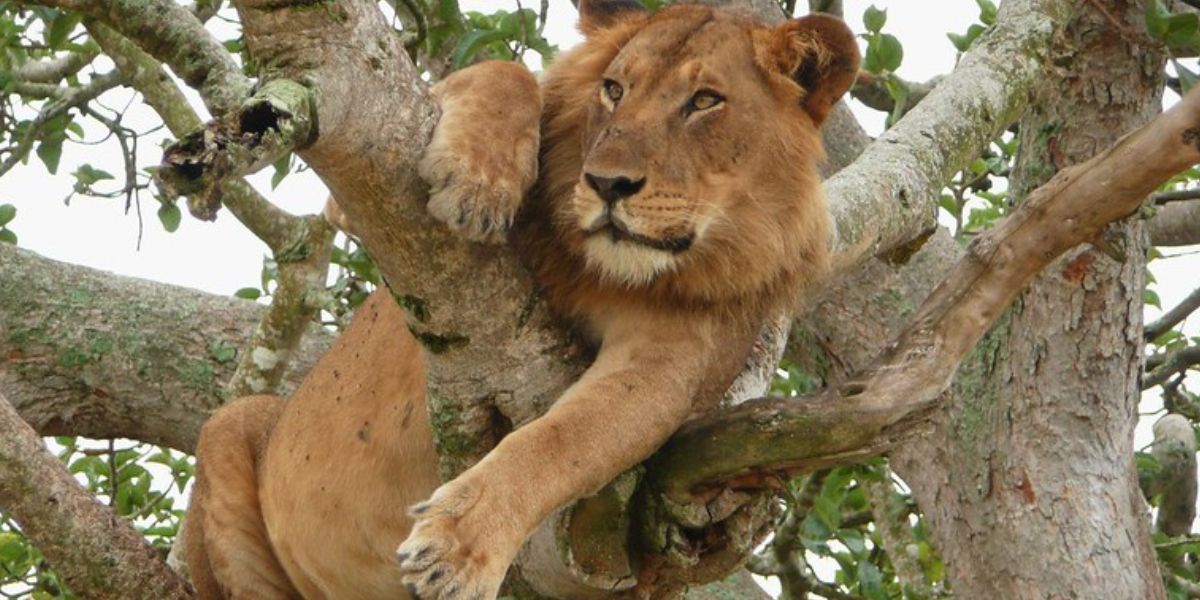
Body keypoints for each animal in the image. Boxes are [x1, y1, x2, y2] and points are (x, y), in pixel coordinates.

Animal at [184, 2, 864, 597]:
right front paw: (479, 181)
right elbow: (509, 75)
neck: (609, 271)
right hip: (229, 428)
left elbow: (563, 442)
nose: (607, 184)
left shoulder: (673, 362)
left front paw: (457, 545)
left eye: (704, 101)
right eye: (614, 90)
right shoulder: (352, 192)